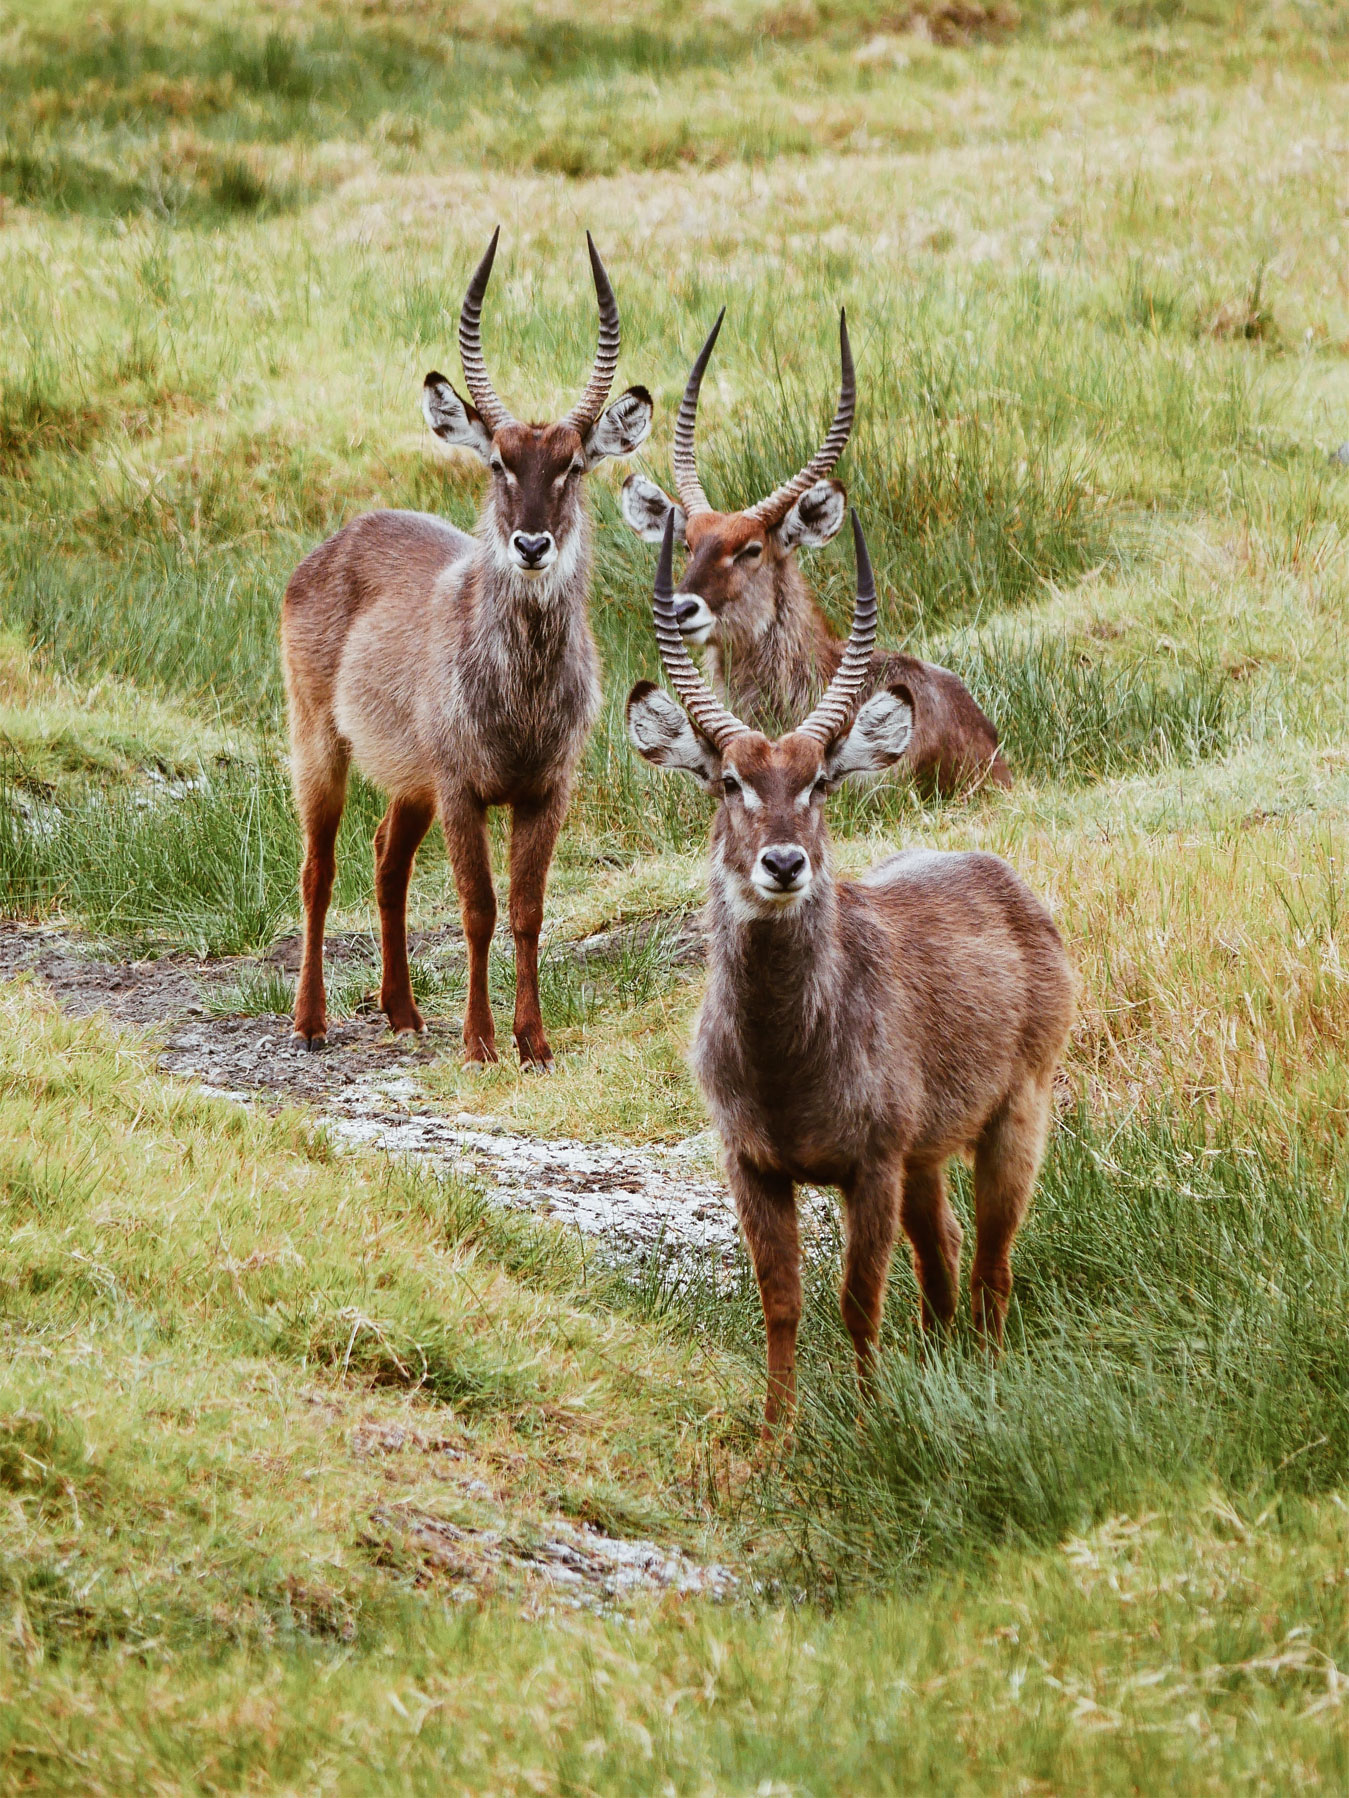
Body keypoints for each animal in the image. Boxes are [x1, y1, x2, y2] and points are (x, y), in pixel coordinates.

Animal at [282, 230, 651, 1057]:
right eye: (498, 462)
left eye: (572, 464)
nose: (532, 544)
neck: (521, 698)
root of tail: (340, 536)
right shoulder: (461, 786)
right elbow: (477, 908)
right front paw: (481, 1042)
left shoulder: (546, 788)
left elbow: (527, 912)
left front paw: (533, 1043)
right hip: (317, 737)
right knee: (319, 868)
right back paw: (311, 1021)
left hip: (407, 777)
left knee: (385, 858)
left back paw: (402, 1010)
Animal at [625, 510, 1079, 1431]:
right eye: (728, 780)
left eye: (821, 781)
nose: (783, 863)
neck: (783, 1061)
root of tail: (1000, 876)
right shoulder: (753, 1165)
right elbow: (783, 1300)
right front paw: (776, 1437)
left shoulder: (869, 1164)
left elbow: (858, 1300)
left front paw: (869, 1428)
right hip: (927, 1156)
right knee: (943, 1254)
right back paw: (943, 1367)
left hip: (1016, 1113)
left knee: (991, 1262)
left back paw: (983, 1376)